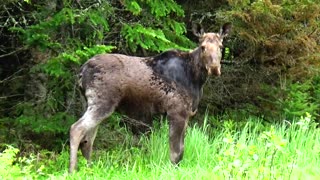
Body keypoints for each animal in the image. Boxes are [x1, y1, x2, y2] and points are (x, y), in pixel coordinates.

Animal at [69, 22, 231, 173]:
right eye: (203, 47)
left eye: (221, 46)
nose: (214, 68)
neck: (196, 78)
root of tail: (81, 72)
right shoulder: (176, 112)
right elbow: (176, 151)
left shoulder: (186, 115)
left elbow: (181, 150)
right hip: (102, 102)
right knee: (76, 129)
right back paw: (72, 170)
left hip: (89, 103)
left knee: (88, 140)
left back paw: (89, 169)